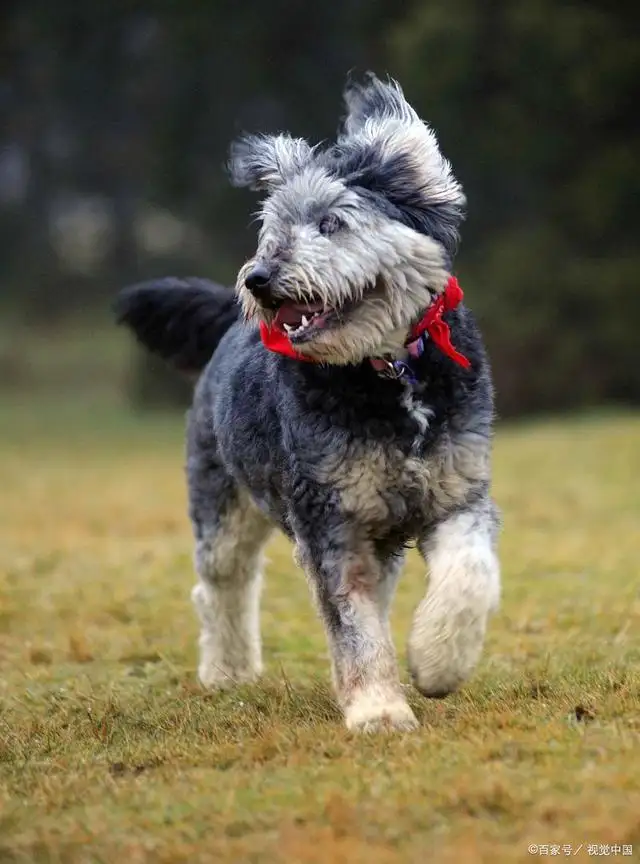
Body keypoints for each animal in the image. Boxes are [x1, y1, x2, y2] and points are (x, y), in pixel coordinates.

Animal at [117, 74, 502, 732]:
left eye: (332, 223)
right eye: (272, 226)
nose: (259, 279)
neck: (388, 371)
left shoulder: (457, 493)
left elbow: (469, 575)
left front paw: (436, 665)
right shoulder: (330, 515)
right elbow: (353, 622)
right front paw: (378, 710)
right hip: (222, 501)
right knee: (223, 586)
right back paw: (227, 672)